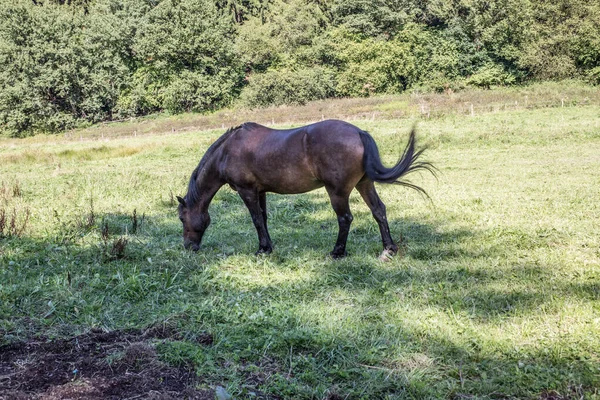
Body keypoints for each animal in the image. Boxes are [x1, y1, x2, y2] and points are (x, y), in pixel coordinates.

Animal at [176, 119, 434, 260]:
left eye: (181, 218)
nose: (188, 247)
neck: (227, 151)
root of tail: (359, 133)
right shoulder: (260, 191)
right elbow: (264, 218)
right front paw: (268, 247)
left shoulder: (246, 190)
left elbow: (256, 220)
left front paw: (262, 249)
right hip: (364, 184)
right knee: (379, 211)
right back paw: (388, 249)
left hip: (338, 192)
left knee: (345, 218)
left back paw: (337, 252)